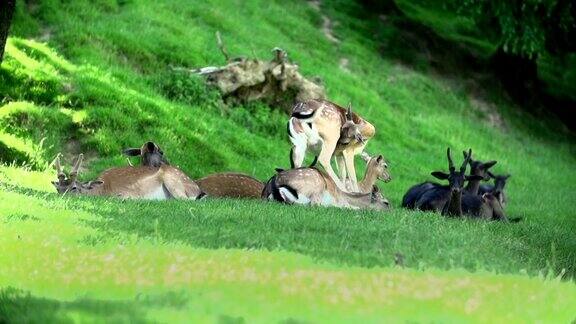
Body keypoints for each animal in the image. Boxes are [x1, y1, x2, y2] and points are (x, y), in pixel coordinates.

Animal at [51, 153, 204, 200]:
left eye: (74, 188)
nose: (60, 198)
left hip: (174, 183)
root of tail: (196, 188)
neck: (103, 189)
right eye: (58, 189)